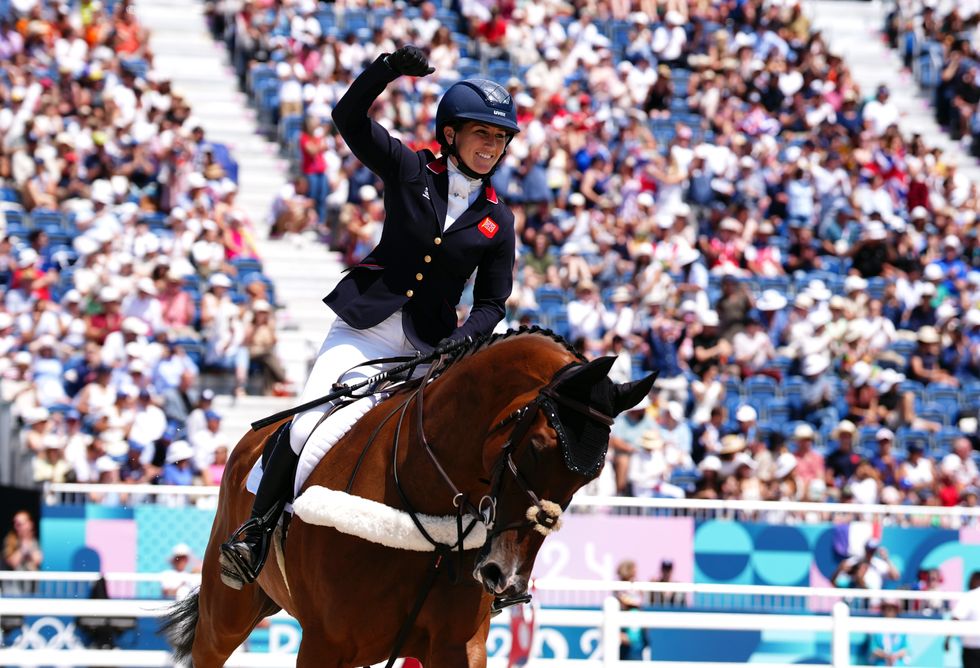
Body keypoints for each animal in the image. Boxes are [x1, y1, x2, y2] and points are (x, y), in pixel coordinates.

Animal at [161, 326, 656, 664]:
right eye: (536, 447)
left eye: (591, 476)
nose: (506, 578)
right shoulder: (326, 643)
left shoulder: (459, 646)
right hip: (226, 613)